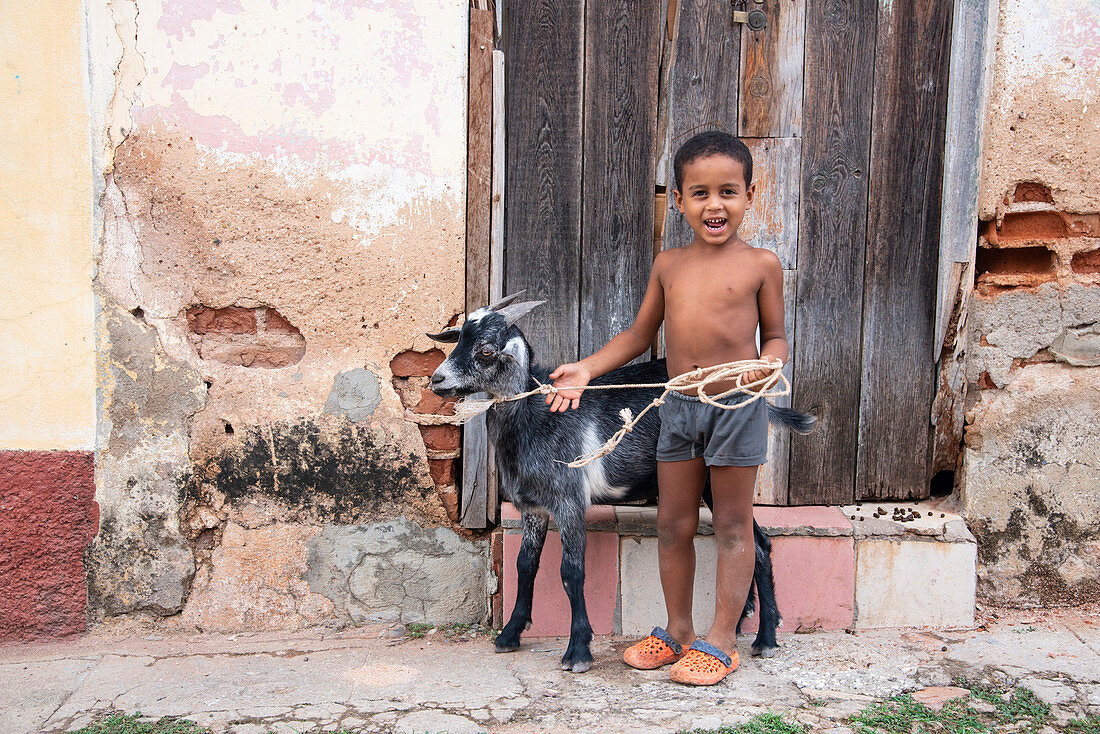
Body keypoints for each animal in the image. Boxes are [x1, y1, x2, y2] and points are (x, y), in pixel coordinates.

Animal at [424, 292, 814, 673]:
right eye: (459, 338)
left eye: (487, 349)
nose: (437, 380)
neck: (536, 417)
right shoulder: (533, 507)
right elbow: (524, 566)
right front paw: (510, 634)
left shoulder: (569, 500)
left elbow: (571, 571)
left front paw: (578, 650)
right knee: (749, 542)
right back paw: (743, 620)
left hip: (721, 472)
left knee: (757, 545)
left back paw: (766, 637)